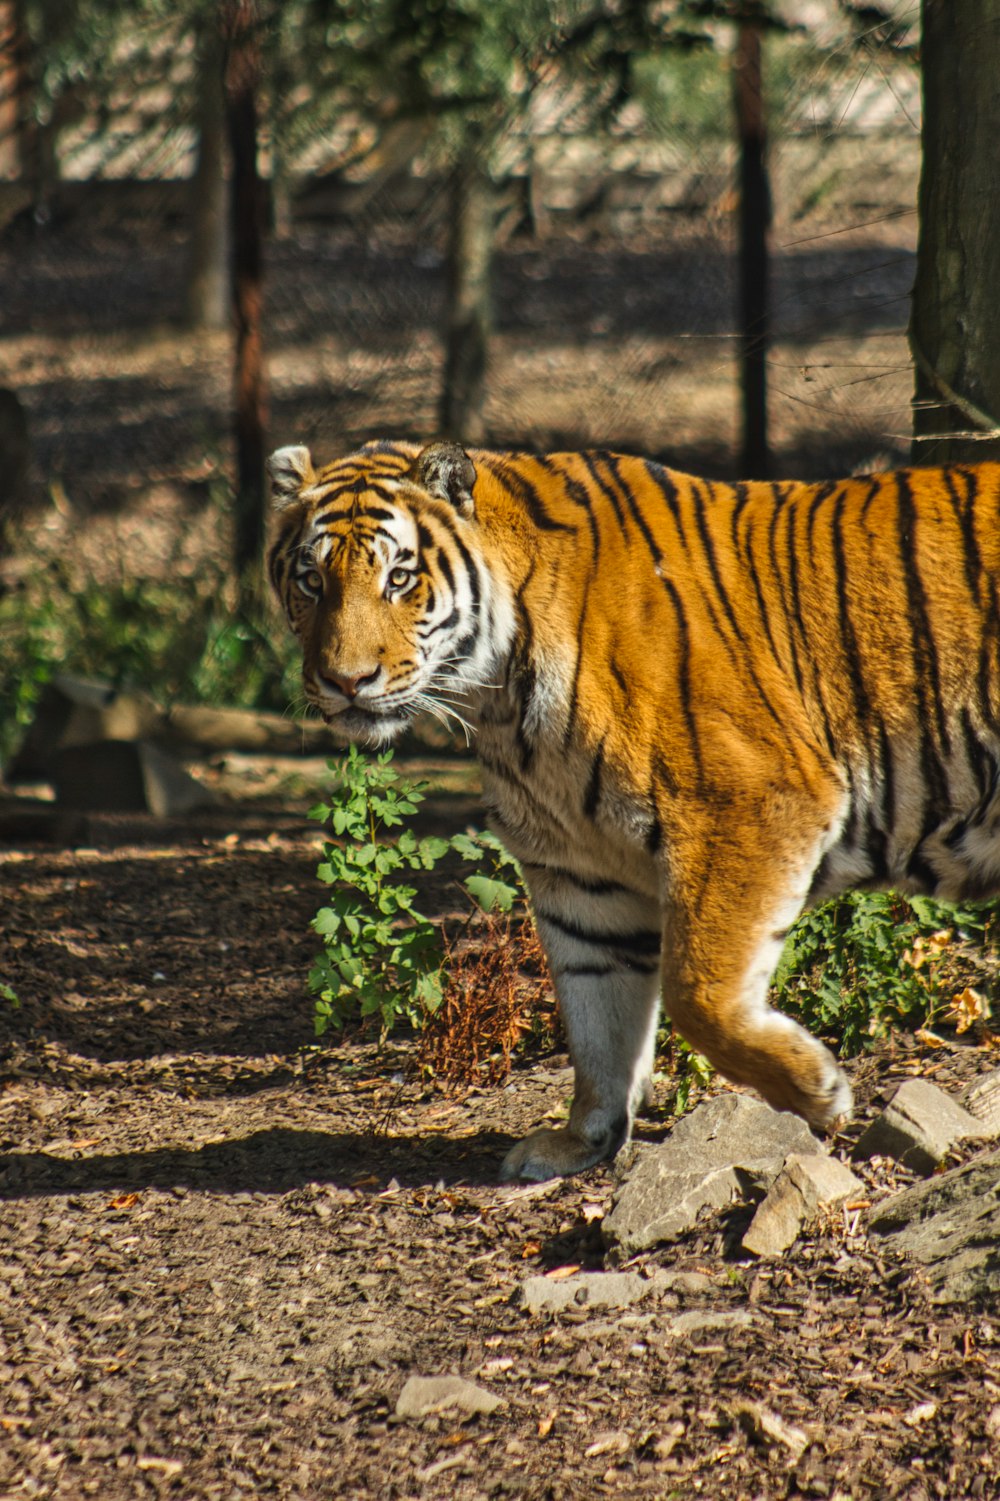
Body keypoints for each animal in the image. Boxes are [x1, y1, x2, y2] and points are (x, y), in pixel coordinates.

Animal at [264, 438, 996, 1182]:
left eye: (399, 579)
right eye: (312, 581)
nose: (347, 681)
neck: (500, 703)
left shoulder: (750, 804)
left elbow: (698, 994)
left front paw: (814, 1091)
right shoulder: (578, 870)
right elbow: (596, 1015)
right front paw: (582, 1138)